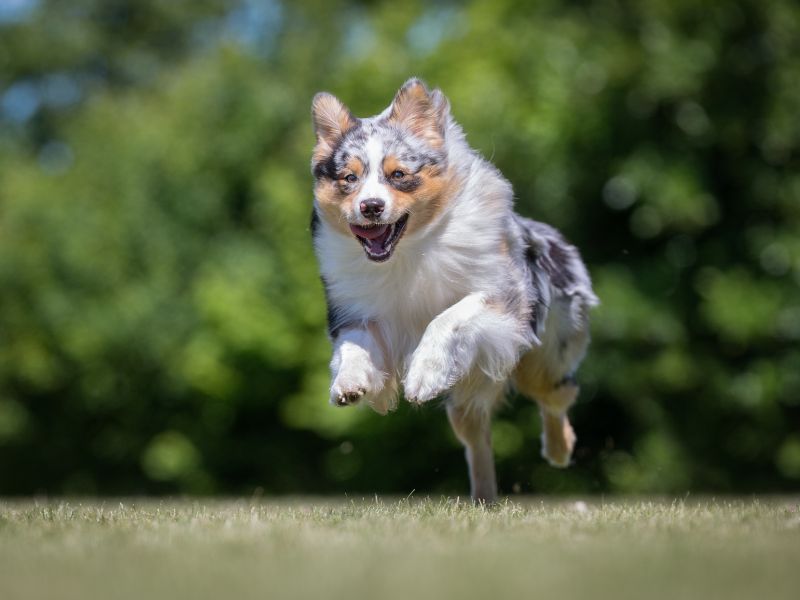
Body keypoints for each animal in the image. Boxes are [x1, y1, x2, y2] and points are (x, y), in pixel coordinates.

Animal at [310, 79, 596, 502]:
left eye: (398, 174)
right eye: (349, 178)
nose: (371, 206)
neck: (408, 251)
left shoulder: (503, 296)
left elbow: (449, 317)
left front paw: (424, 375)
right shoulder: (358, 312)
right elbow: (354, 347)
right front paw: (350, 383)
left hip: (542, 359)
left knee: (558, 396)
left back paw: (559, 449)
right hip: (470, 396)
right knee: (477, 437)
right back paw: (484, 497)